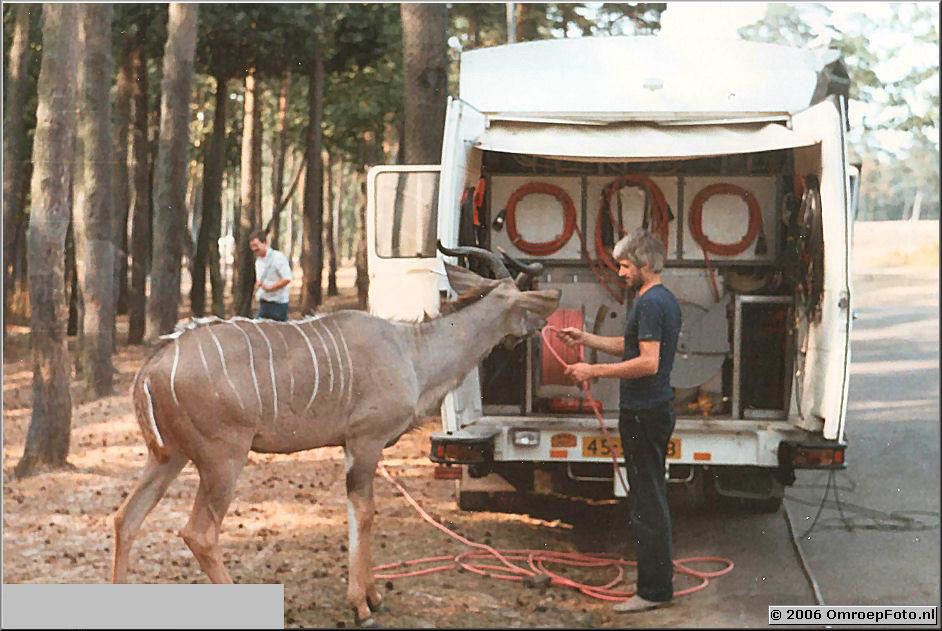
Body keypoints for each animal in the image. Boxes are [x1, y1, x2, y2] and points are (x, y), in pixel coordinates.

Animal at [112, 243, 560, 628]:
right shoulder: (365, 442)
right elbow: (365, 511)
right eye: (524, 303)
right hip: (223, 459)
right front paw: (362, 606)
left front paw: (374, 595)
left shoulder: (352, 447)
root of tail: (153, 364)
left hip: (169, 457)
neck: (412, 352)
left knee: (125, 517)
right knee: (198, 533)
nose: (543, 325)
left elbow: (357, 512)